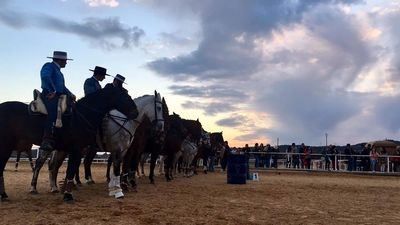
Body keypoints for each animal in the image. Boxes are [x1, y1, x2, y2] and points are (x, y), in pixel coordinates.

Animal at [0, 86, 138, 202]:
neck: (82, 116)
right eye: (125, 95)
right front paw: (68, 195)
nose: (135, 112)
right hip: (8, 146)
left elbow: (70, 170)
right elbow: (71, 169)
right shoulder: (77, 149)